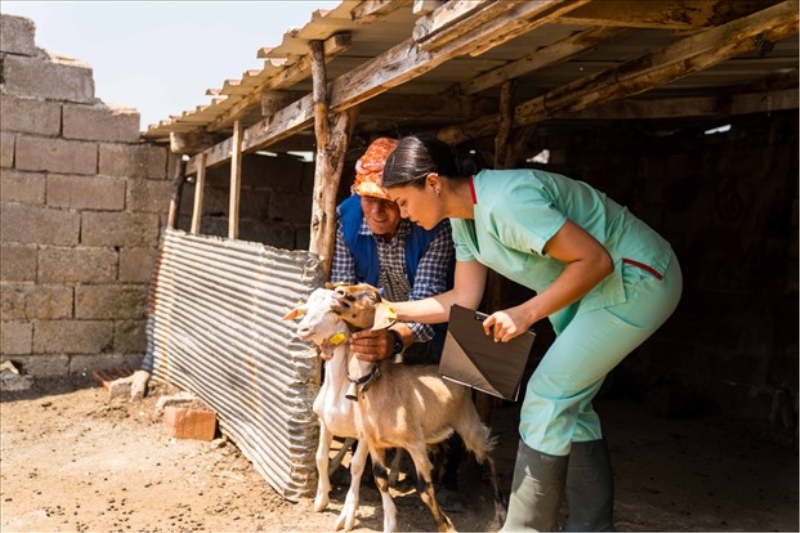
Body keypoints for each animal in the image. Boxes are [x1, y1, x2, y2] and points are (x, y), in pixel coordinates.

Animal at [292, 282, 506, 532]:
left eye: (372, 295)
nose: (340, 292)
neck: (373, 385)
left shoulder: (414, 443)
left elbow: (423, 489)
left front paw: (446, 526)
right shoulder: (374, 441)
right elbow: (379, 478)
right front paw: (389, 523)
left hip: (467, 422)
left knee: (488, 455)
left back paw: (499, 511)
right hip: (434, 431)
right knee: (443, 452)